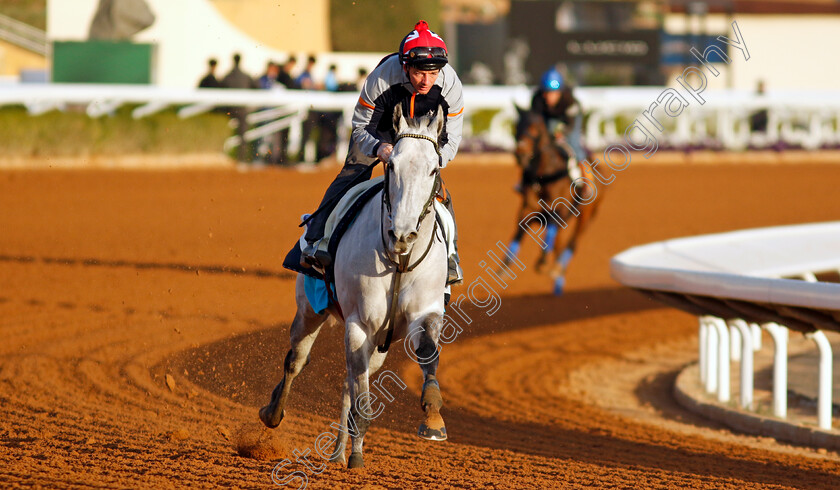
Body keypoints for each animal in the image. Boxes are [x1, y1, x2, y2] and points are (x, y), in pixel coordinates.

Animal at [506, 106, 604, 294]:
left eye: (534, 129)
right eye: (516, 126)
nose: (520, 154)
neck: (544, 173)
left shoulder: (559, 210)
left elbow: (550, 231)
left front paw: (543, 263)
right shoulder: (528, 208)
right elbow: (519, 231)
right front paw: (504, 266)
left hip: (586, 215)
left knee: (572, 243)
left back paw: (557, 271)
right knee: (558, 245)